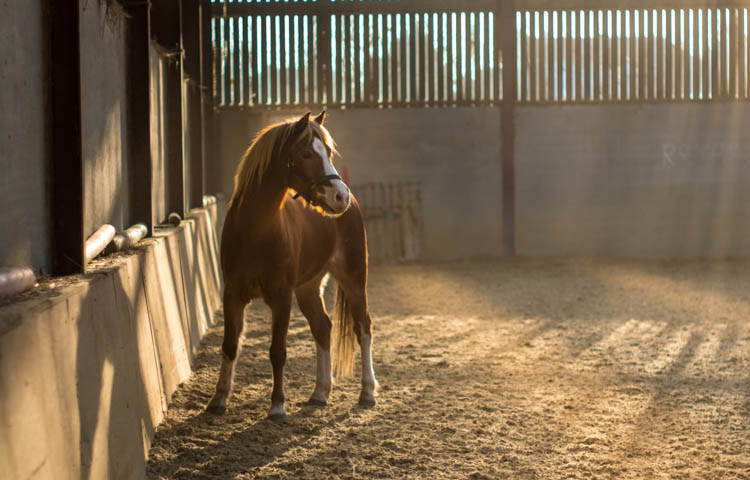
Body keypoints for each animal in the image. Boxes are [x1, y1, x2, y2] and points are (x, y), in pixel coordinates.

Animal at [206, 111, 378, 420]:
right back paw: (320, 393)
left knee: (363, 327)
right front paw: (219, 399)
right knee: (323, 327)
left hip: (354, 278)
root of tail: (355, 204)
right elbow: (229, 345)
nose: (340, 196)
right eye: (307, 153)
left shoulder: (281, 297)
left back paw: (367, 392)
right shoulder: (233, 295)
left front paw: (277, 406)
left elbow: (278, 351)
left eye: (329, 152)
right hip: (308, 288)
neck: (256, 230)